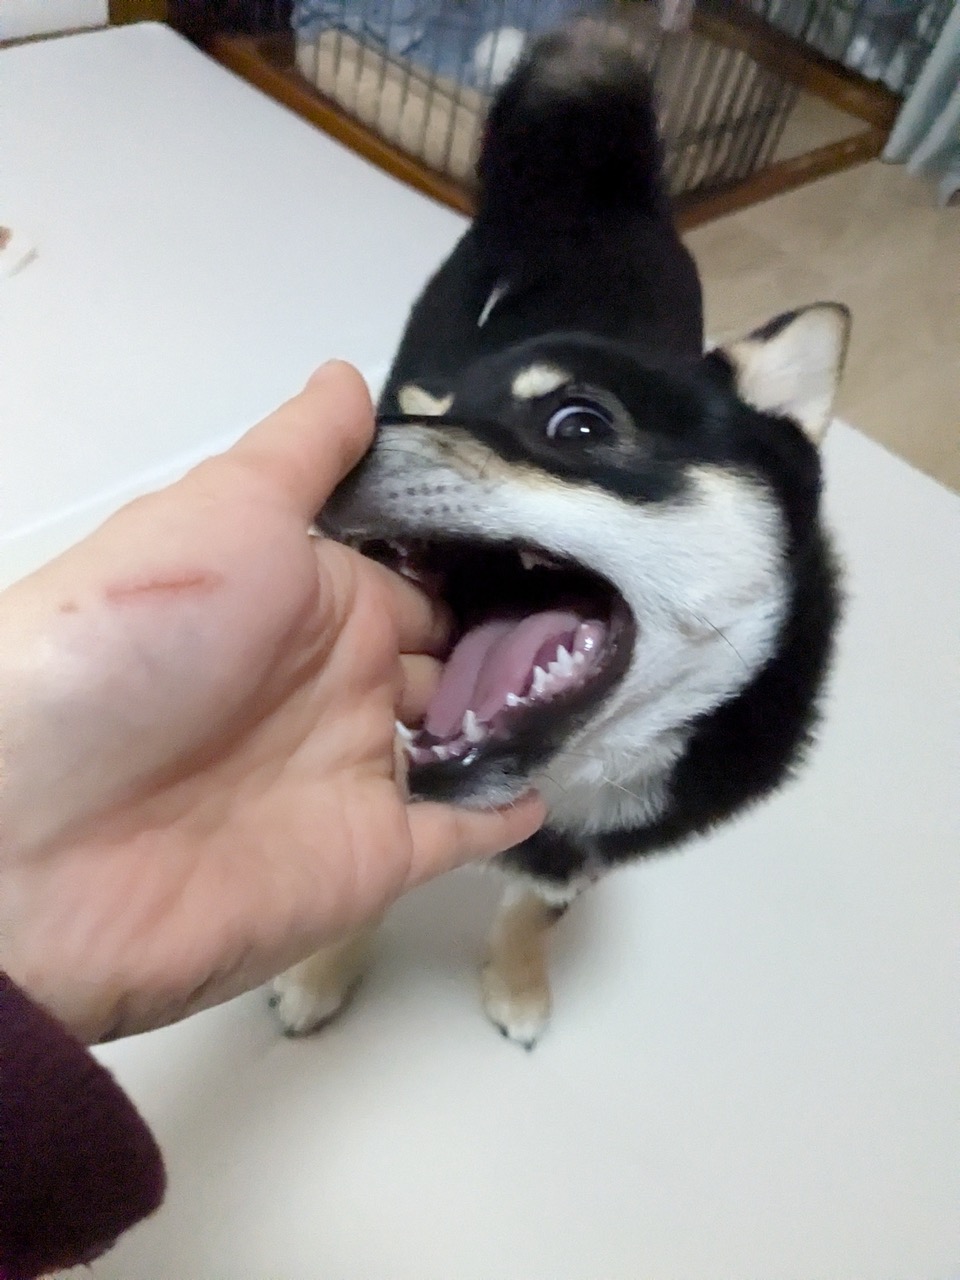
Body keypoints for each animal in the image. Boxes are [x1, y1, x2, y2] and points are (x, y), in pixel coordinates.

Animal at [271, 18, 848, 1047]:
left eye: (577, 425)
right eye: (426, 415)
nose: (337, 443)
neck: (578, 775)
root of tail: (597, 192)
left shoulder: (582, 856)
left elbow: (534, 910)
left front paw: (518, 986)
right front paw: (319, 972)